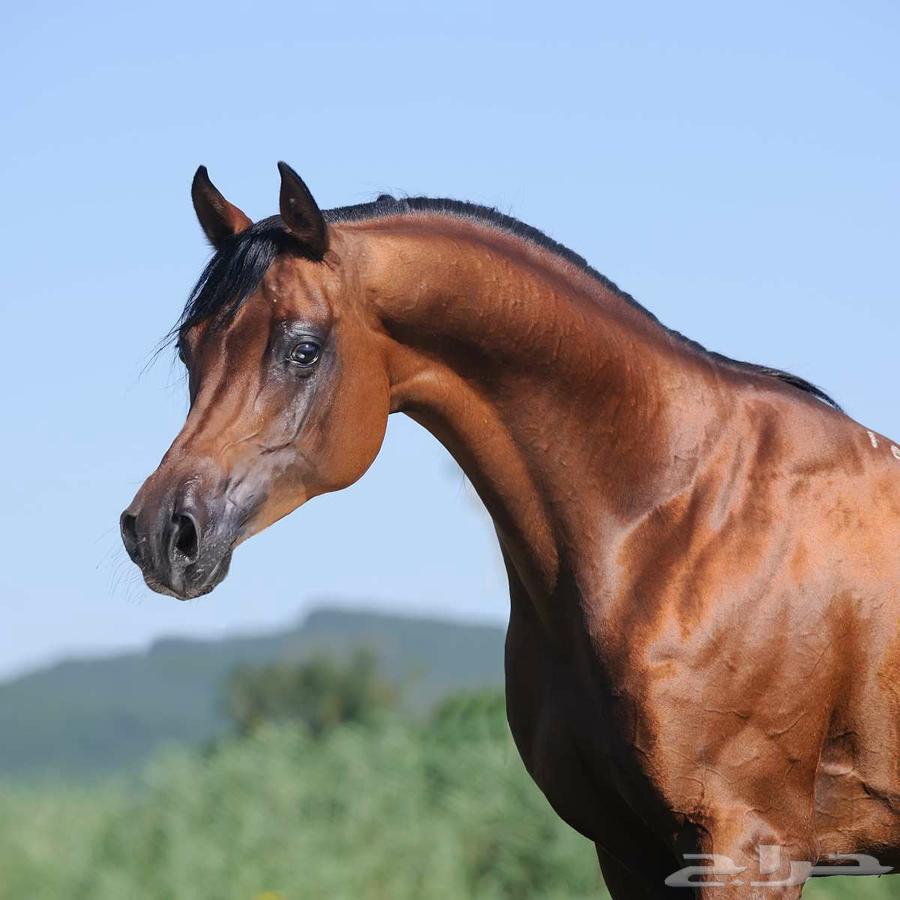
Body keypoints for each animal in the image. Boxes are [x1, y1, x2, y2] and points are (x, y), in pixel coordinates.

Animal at [121, 163, 900, 898]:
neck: (679, 519)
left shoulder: (750, 846)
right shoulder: (629, 853)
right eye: (191, 350)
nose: (161, 532)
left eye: (303, 349)